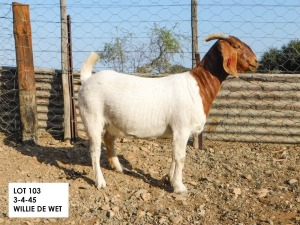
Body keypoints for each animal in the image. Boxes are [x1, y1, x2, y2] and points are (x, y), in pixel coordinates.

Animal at [77, 33, 258, 193]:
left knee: (108, 139)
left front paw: (170, 179)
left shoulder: (176, 132)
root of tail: (87, 80)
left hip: (112, 122)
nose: (256, 61)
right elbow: (180, 157)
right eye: (237, 46)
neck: (198, 86)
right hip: (92, 117)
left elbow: (174, 156)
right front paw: (179, 187)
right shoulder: (182, 128)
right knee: (95, 150)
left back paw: (118, 167)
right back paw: (100, 182)